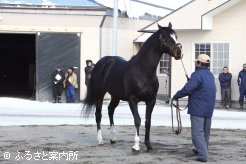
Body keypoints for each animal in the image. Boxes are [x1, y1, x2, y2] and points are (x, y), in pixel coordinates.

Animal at [83, 22, 182, 152]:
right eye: (166, 37)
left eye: (176, 36)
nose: (179, 52)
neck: (143, 71)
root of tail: (102, 62)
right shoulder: (132, 99)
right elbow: (137, 120)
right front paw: (136, 146)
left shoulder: (151, 100)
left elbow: (148, 122)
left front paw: (148, 145)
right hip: (99, 94)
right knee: (98, 115)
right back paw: (100, 140)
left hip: (115, 96)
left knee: (110, 110)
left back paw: (113, 138)